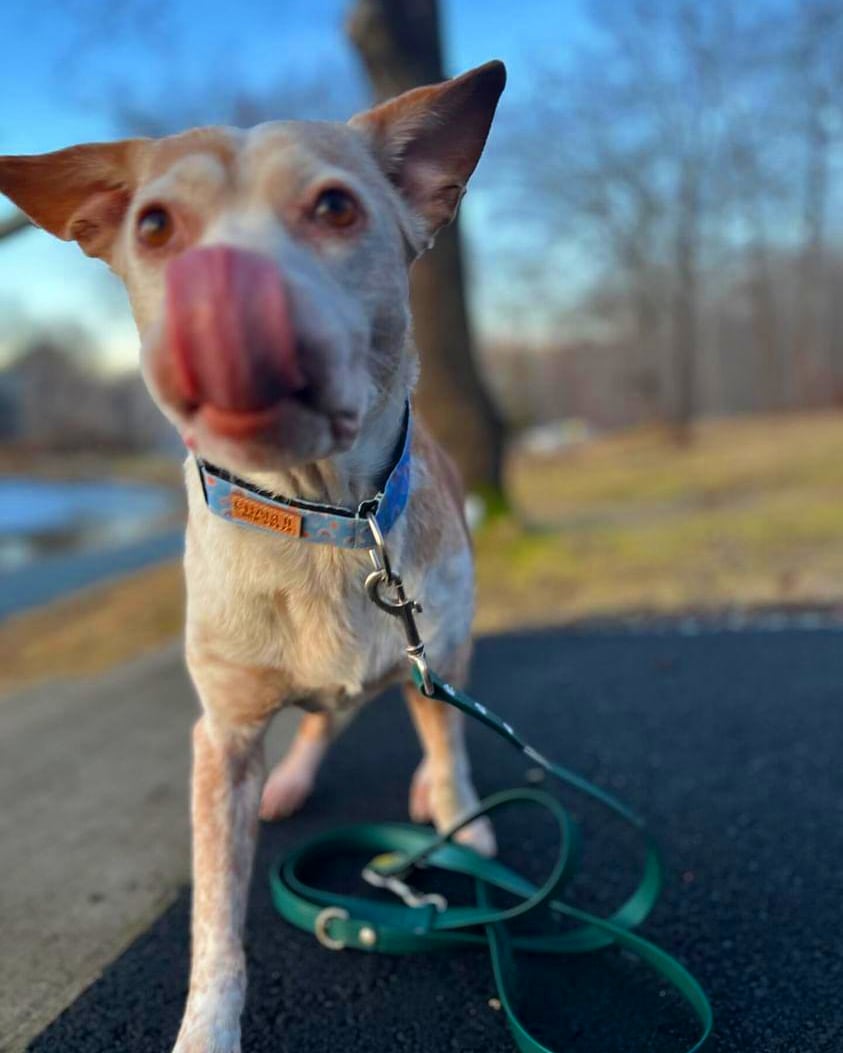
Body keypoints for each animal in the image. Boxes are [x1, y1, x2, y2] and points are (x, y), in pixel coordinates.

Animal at [0, 59, 503, 1053]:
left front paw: (460, 821)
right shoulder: (222, 741)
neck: (325, 518)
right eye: (155, 226)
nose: (224, 285)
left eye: (335, 207)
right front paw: (207, 1028)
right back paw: (299, 777)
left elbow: (451, 748)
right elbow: (215, 925)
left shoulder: (437, 647)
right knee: (323, 717)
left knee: (434, 721)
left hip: (447, 650)